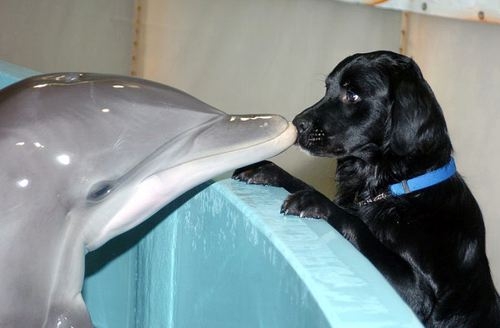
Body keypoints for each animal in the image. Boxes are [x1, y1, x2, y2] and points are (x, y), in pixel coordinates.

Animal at [233, 50, 500, 326]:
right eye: (328, 88)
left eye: (352, 95)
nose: (297, 125)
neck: (400, 190)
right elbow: (304, 183)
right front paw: (267, 170)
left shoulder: (417, 293)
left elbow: (355, 222)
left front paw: (313, 201)